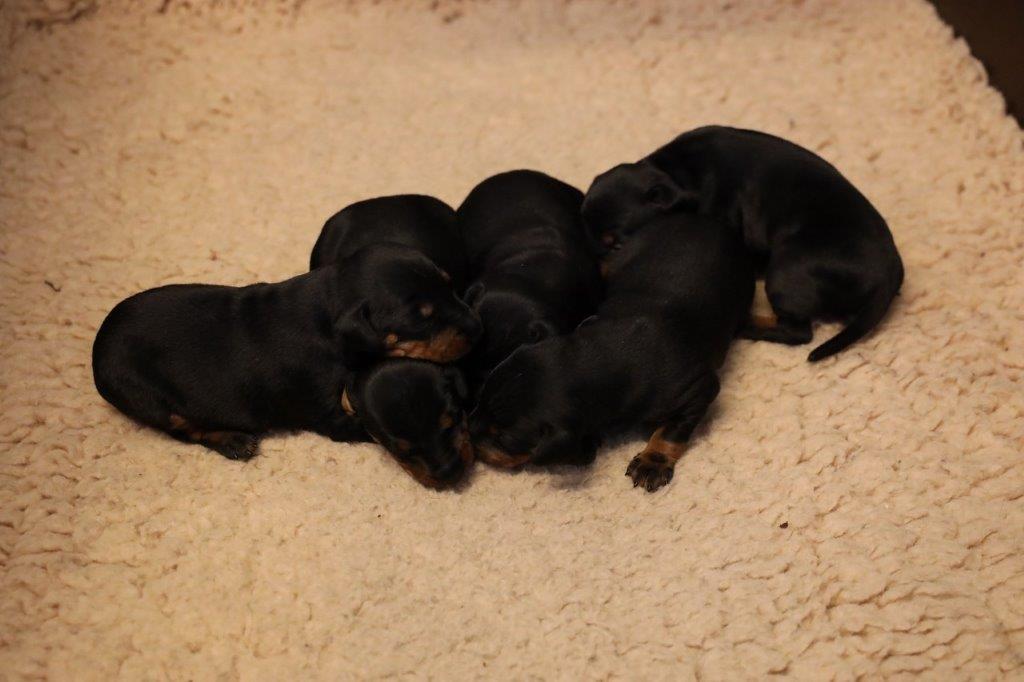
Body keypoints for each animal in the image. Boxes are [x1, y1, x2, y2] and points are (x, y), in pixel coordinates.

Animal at [470, 211, 754, 492]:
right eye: (479, 398)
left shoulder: (699, 390)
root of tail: (704, 217)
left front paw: (653, 462)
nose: (469, 436)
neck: (601, 356)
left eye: (503, 439)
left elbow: (671, 431)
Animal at [581, 125, 904, 361]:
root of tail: (887, 278)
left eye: (617, 245)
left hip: (787, 272)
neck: (678, 173)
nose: (597, 288)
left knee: (797, 333)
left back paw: (745, 326)